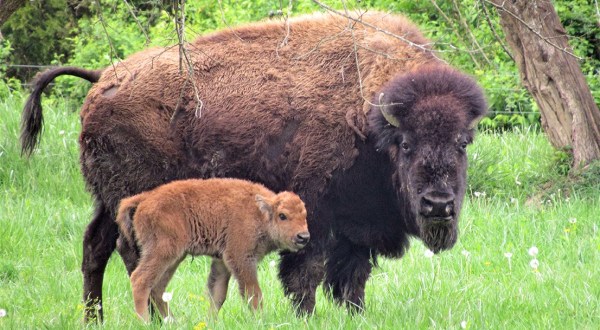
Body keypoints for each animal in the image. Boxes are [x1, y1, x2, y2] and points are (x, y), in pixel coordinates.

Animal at [115, 178, 310, 322]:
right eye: (282, 215)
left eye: (304, 215)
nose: (303, 236)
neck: (259, 213)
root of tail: (145, 199)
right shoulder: (241, 258)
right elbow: (253, 294)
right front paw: (260, 320)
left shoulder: (221, 261)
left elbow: (217, 294)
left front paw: (210, 322)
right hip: (162, 252)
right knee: (140, 280)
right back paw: (145, 322)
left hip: (174, 257)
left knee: (157, 288)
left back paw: (173, 322)